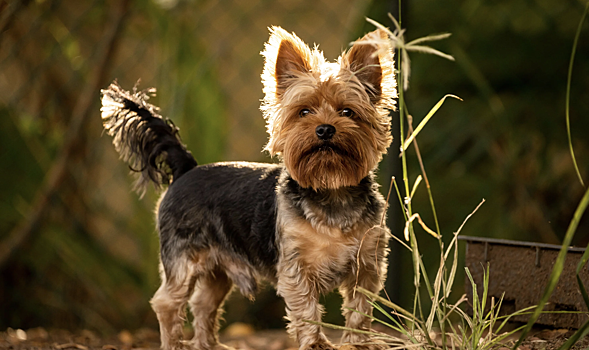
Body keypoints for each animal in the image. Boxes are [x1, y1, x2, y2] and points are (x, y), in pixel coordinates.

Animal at [100, 26, 396, 350]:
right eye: (304, 112)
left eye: (347, 112)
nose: (325, 129)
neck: (332, 189)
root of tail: (186, 169)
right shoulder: (295, 268)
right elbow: (306, 309)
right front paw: (315, 343)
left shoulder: (366, 264)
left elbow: (360, 309)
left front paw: (359, 343)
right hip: (183, 257)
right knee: (168, 302)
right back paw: (175, 344)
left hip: (218, 266)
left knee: (203, 302)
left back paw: (210, 345)